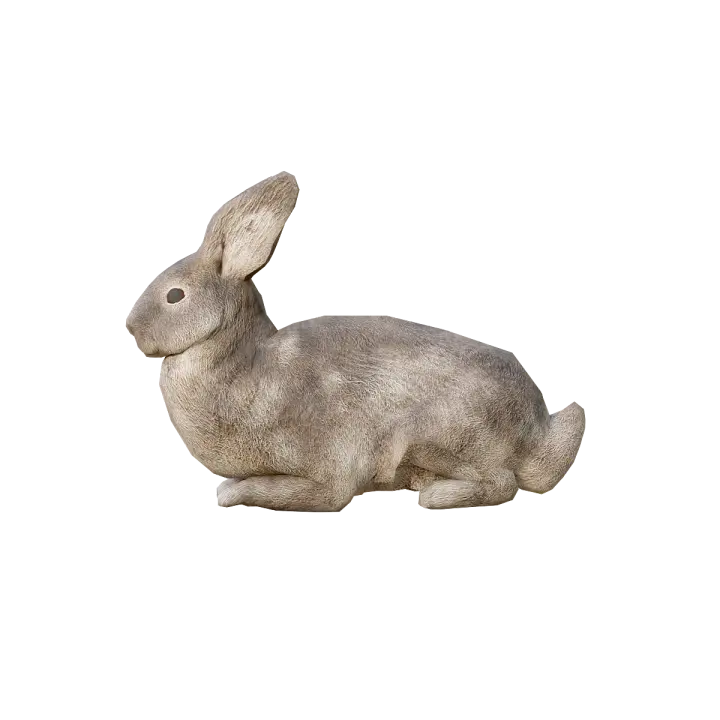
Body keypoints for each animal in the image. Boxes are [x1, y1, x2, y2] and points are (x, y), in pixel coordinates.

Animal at [124, 171, 586, 511]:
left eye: (175, 296)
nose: (129, 330)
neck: (246, 363)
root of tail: (535, 431)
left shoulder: (329, 471)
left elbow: (299, 491)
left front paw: (229, 495)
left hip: (434, 434)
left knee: (502, 482)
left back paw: (434, 496)